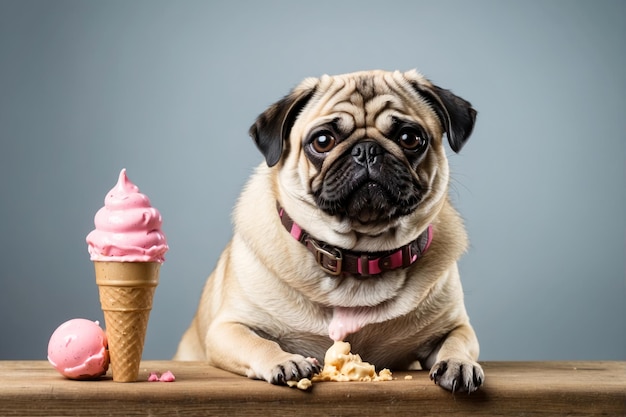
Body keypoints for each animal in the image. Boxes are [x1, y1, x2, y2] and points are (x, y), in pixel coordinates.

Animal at [176, 70, 482, 392]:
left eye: (410, 138)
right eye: (323, 141)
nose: (367, 150)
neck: (359, 258)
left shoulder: (456, 326)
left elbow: (457, 341)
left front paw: (459, 363)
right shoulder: (227, 329)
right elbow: (259, 343)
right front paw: (286, 361)